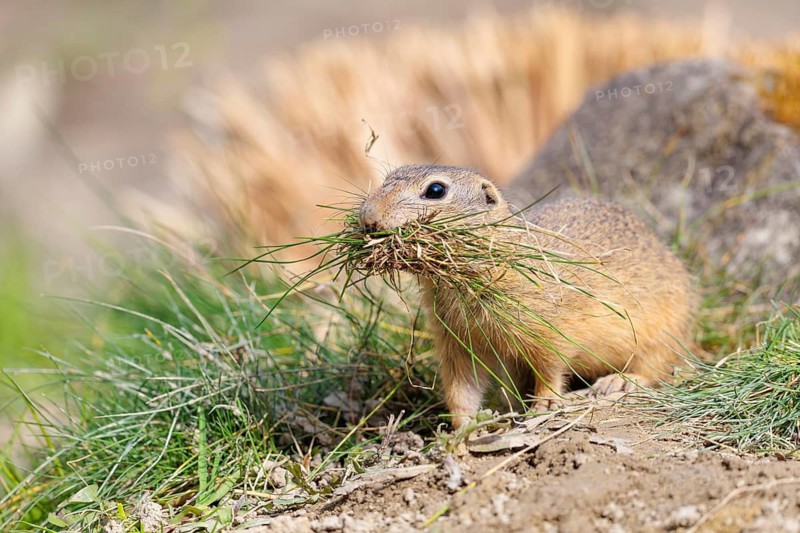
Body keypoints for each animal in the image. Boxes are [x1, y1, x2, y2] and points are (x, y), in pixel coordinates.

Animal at [359, 165, 696, 429]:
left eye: (436, 190)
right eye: (388, 177)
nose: (367, 216)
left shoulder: (549, 332)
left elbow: (549, 370)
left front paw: (543, 405)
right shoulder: (457, 342)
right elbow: (461, 388)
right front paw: (462, 430)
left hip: (661, 332)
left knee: (656, 368)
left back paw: (618, 381)